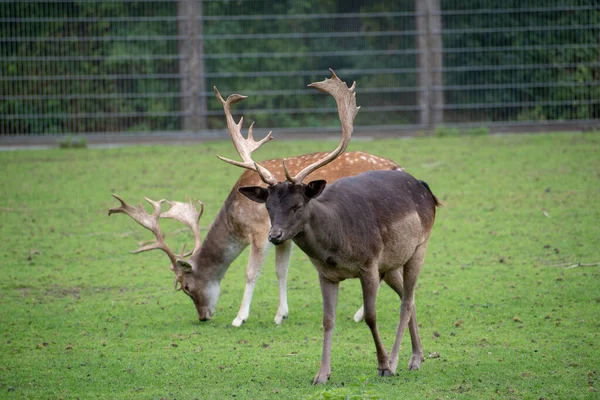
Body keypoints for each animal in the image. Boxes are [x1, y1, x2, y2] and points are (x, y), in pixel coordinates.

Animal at [108, 150, 400, 324]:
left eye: (187, 288)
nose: (203, 317)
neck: (236, 217)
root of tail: (397, 167)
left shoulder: (260, 231)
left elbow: (251, 273)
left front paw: (240, 318)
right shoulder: (284, 236)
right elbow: (281, 271)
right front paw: (281, 315)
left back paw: (360, 314)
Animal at [219, 69, 440, 384]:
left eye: (298, 205)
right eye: (268, 207)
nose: (275, 235)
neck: (337, 243)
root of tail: (424, 186)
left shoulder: (369, 264)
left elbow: (371, 316)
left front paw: (383, 365)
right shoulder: (326, 274)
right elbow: (327, 320)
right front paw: (321, 374)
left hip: (419, 247)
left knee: (407, 301)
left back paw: (399, 360)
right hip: (392, 262)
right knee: (409, 299)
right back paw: (418, 357)